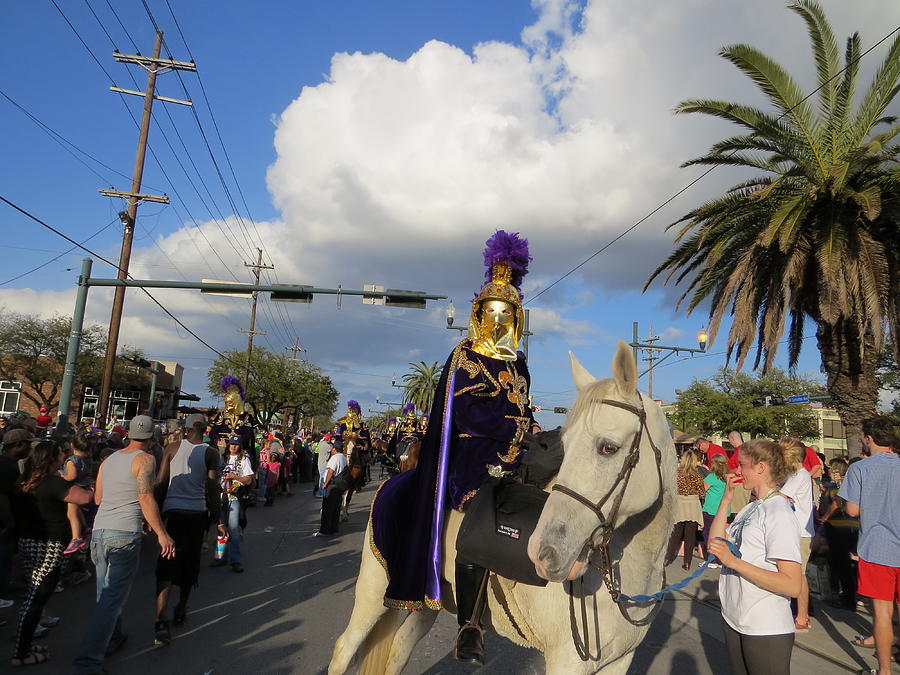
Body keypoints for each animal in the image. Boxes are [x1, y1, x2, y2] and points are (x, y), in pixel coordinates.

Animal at [328, 344, 676, 675]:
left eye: (608, 448)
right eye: (566, 446)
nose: (544, 551)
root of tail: (394, 481)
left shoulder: (620, 661)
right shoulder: (566, 662)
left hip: (427, 602)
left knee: (398, 652)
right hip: (373, 592)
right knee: (344, 649)